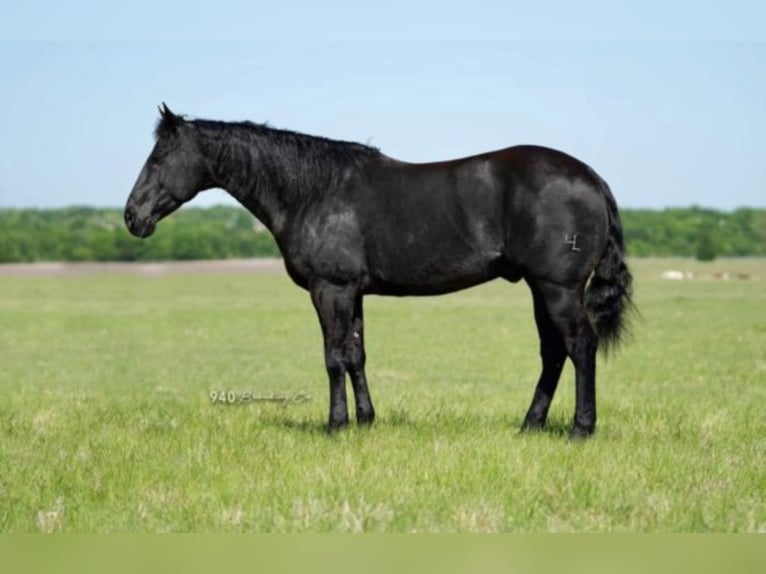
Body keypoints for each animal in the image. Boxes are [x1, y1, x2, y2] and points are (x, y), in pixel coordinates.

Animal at [123, 103, 632, 438]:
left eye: (158, 158)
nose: (132, 217)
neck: (315, 193)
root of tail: (591, 177)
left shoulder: (330, 290)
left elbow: (333, 357)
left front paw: (335, 425)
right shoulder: (354, 293)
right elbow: (356, 355)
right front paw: (366, 421)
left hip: (558, 288)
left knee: (580, 346)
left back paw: (581, 429)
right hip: (540, 288)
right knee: (554, 351)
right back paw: (530, 425)